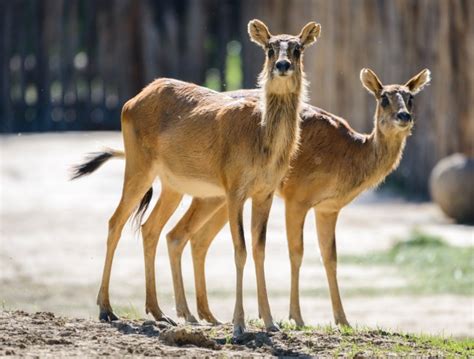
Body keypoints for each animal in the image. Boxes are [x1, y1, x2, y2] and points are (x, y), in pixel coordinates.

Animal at [73, 19, 322, 334]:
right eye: (269, 48)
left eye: (298, 48)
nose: (282, 64)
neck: (261, 139)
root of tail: (131, 102)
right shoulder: (234, 188)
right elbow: (240, 249)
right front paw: (239, 325)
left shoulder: (265, 192)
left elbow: (259, 249)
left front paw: (270, 322)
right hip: (140, 166)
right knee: (116, 221)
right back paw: (107, 309)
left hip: (172, 185)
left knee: (152, 228)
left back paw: (160, 312)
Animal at [157, 67, 432, 326]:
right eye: (383, 98)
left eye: (411, 98)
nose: (404, 116)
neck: (347, 158)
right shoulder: (298, 196)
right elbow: (296, 252)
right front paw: (296, 317)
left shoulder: (329, 208)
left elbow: (330, 257)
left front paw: (343, 320)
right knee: (184, 233)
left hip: (219, 196)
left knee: (194, 237)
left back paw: (203, 314)